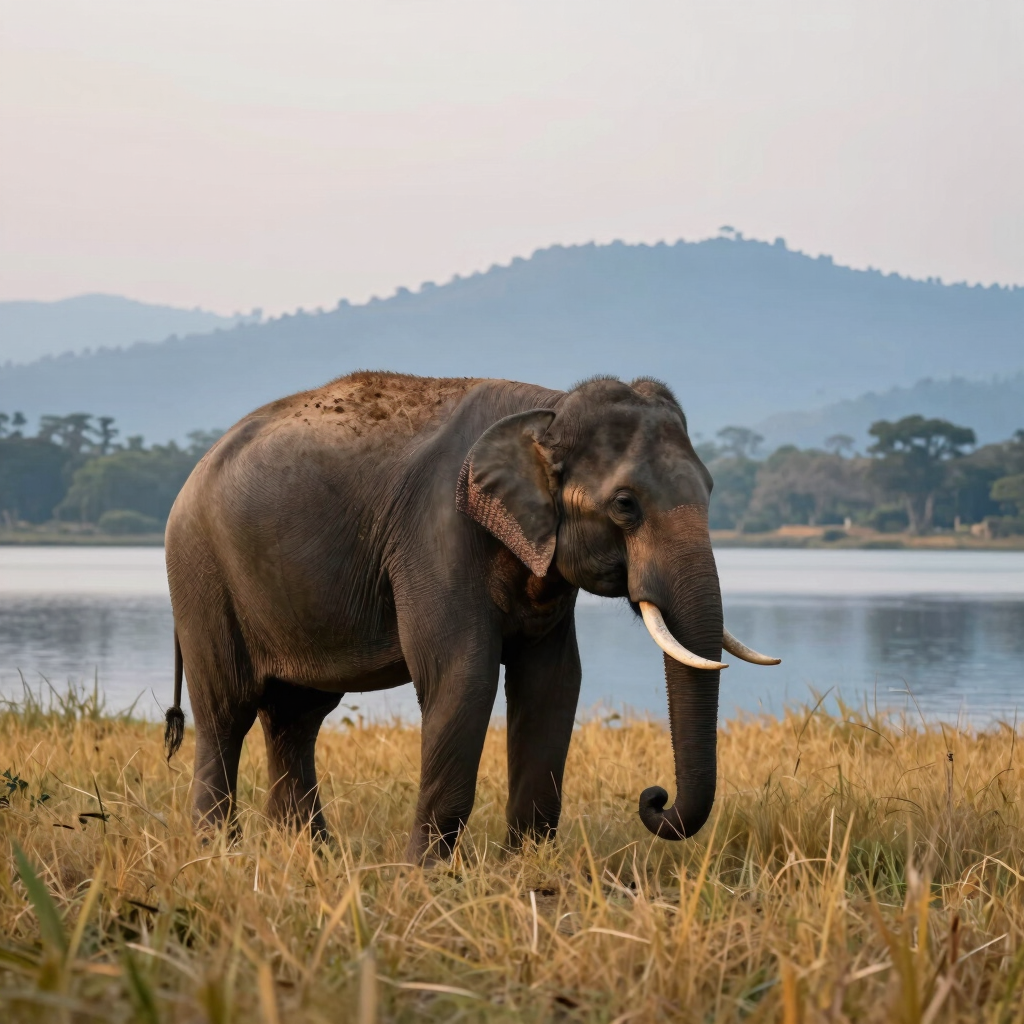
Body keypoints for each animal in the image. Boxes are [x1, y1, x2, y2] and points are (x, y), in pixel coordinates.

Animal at [163, 371, 779, 861]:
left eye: (712, 489)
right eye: (625, 504)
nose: (653, 797)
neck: (548, 407)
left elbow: (553, 682)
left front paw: (523, 869)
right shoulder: (437, 534)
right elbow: (463, 676)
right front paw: (422, 877)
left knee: (296, 716)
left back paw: (311, 855)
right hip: (200, 574)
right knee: (225, 712)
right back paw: (219, 855)